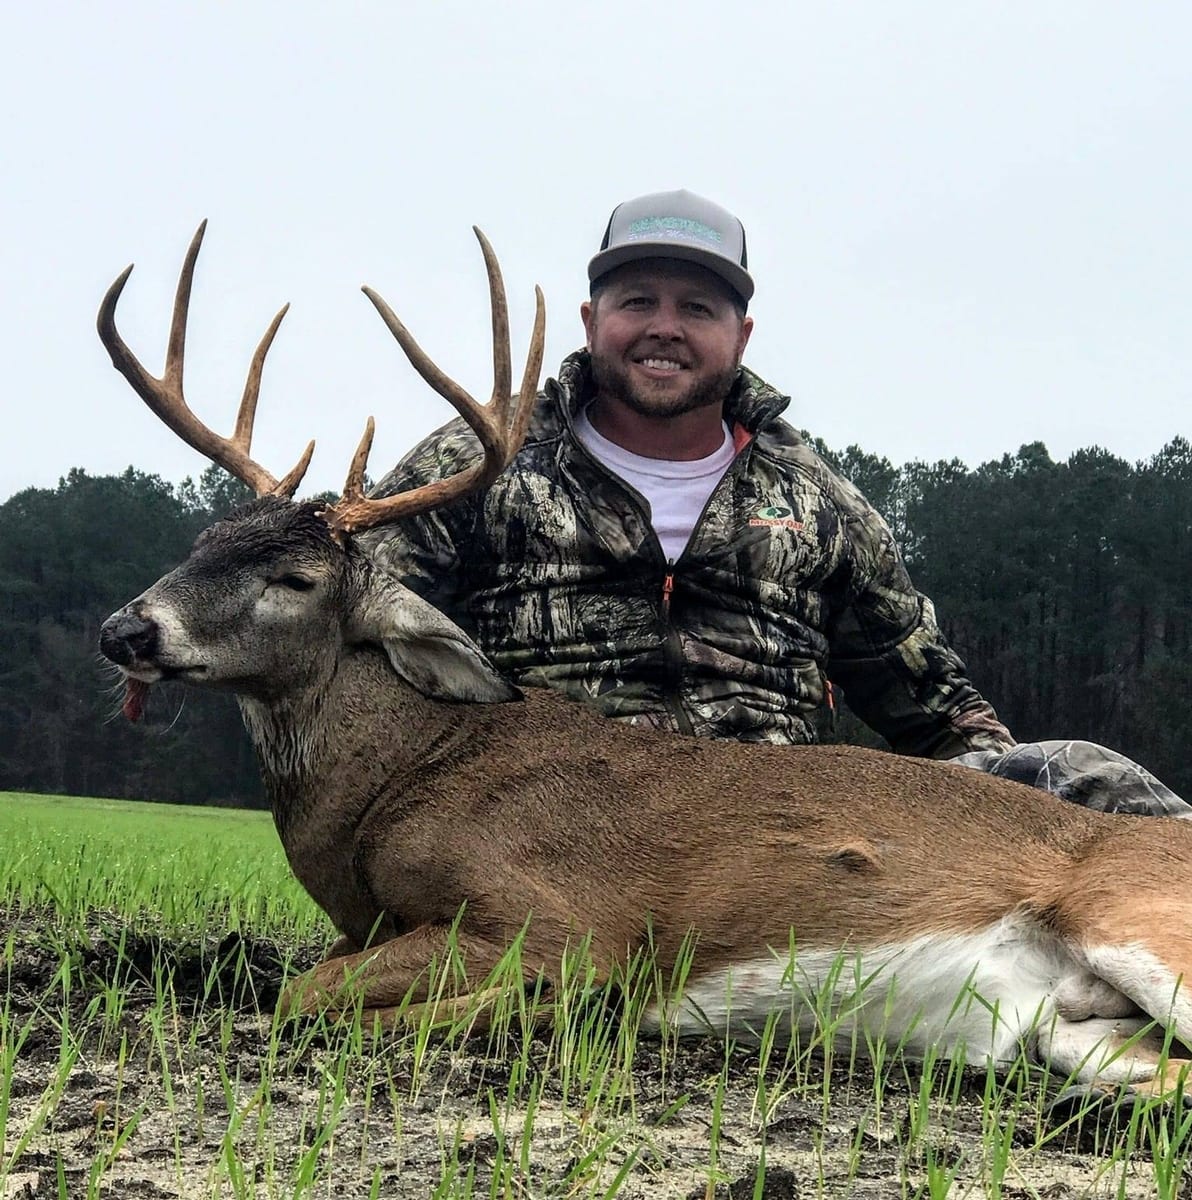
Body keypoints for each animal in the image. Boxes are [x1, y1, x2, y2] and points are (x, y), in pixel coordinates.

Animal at [97, 223, 1192, 1105]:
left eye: (294, 577)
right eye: (201, 541)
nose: (126, 630)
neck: (392, 791)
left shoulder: (557, 918)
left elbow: (311, 998)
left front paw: (568, 1019)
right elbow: (311, 987)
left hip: (1140, 921)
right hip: (1076, 1026)